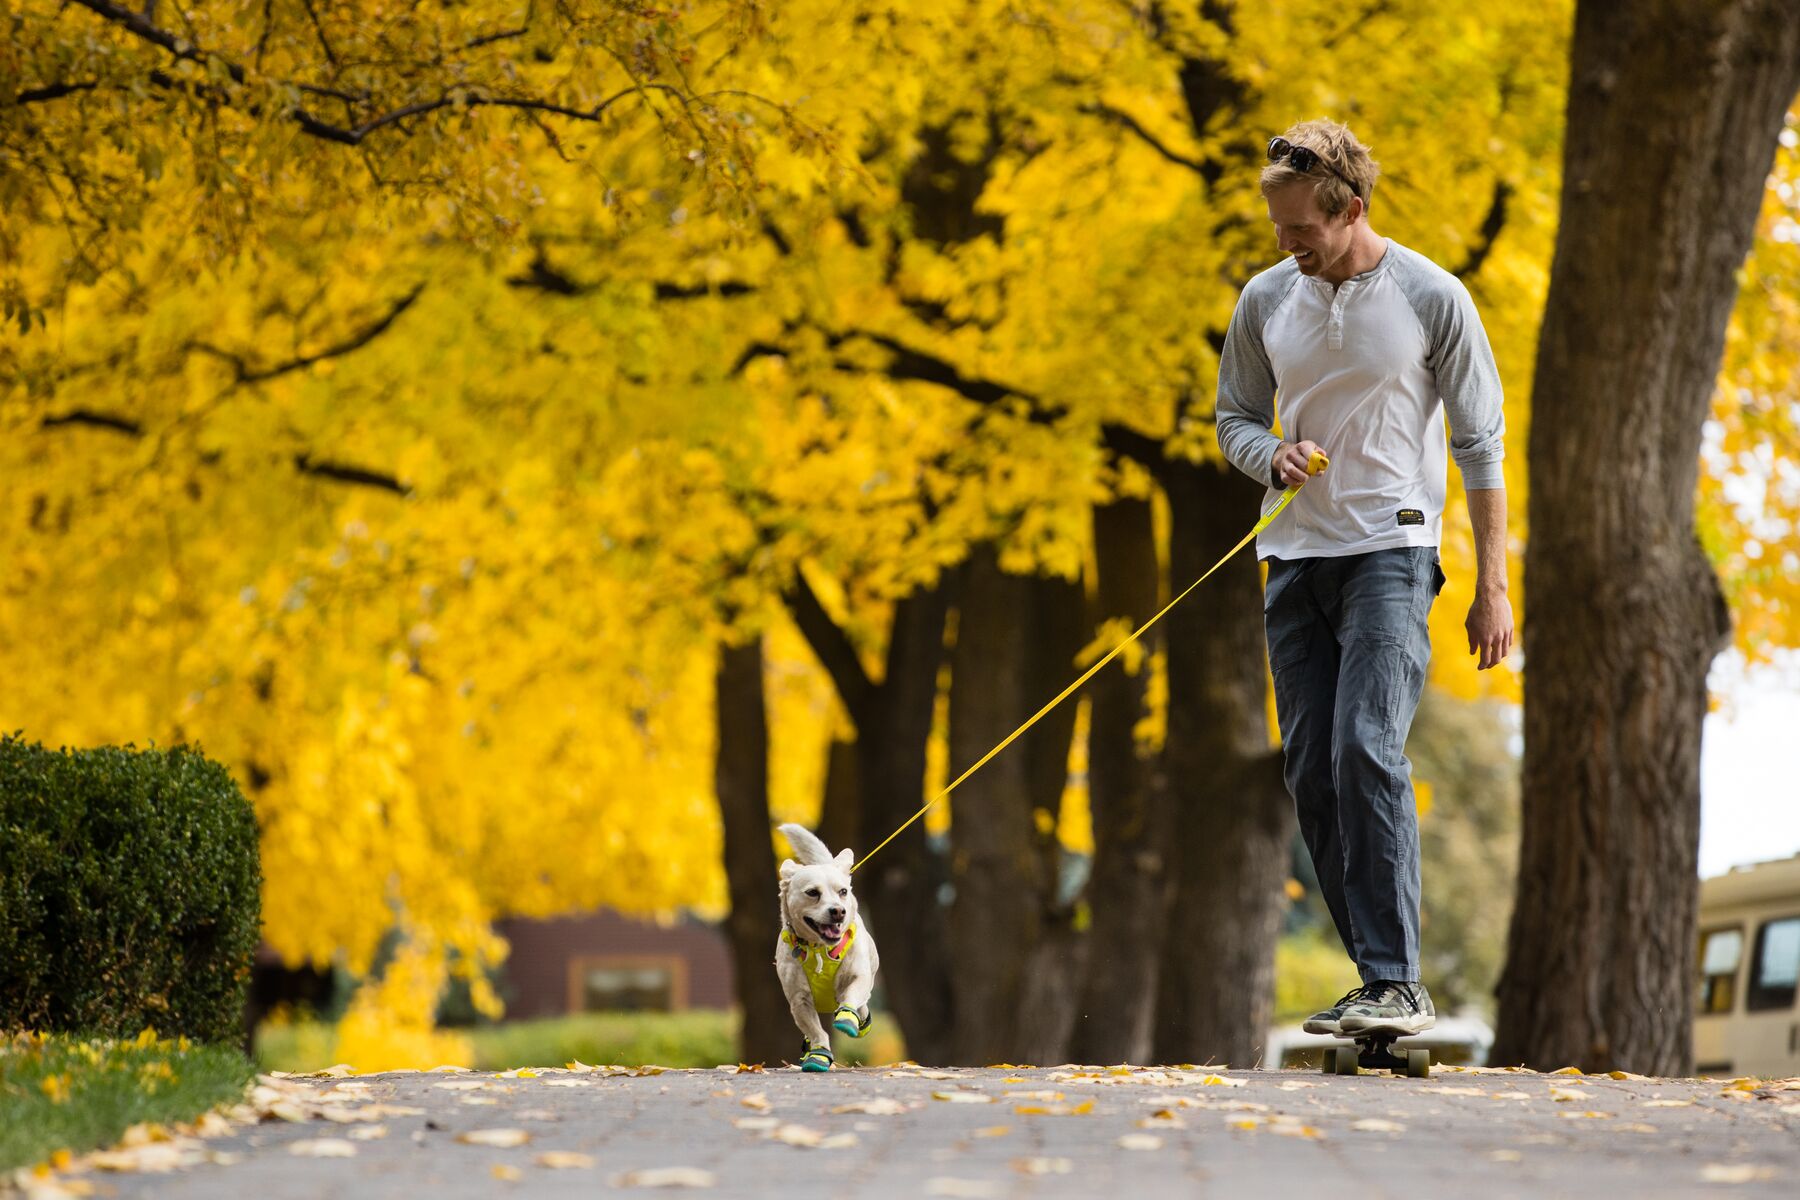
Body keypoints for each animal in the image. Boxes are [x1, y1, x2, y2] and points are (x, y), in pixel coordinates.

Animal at [777, 827, 882, 1072]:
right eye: (812, 892)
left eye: (842, 891)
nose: (838, 911)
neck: (819, 949)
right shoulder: (799, 1000)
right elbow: (816, 1031)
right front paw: (819, 1054)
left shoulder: (858, 976)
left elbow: (851, 995)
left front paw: (847, 1018)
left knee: (863, 1004)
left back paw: (859, 1018)